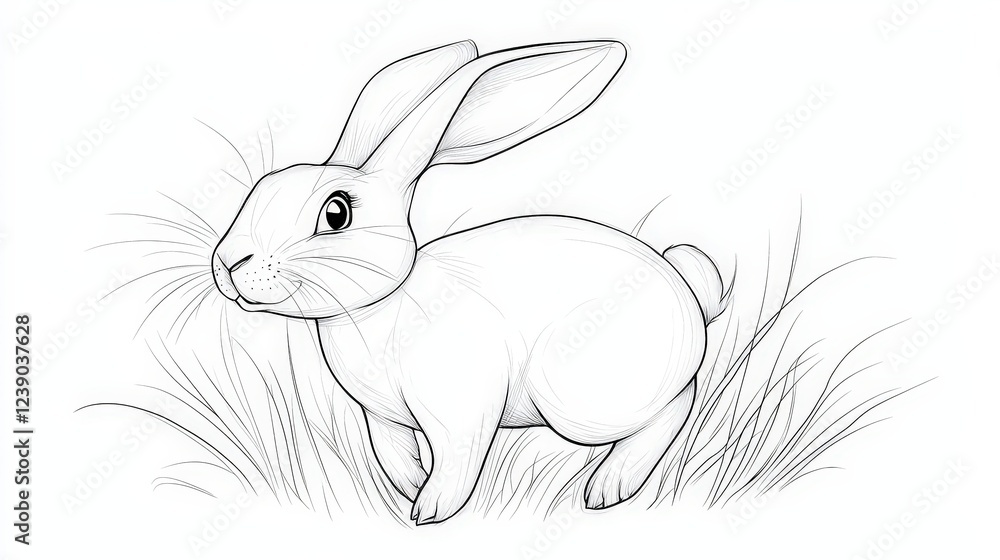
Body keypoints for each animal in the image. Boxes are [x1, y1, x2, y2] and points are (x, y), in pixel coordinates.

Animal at [211, 39, 729, 524]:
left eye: (336, 213)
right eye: (261, 187)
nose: (228, 262)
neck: (381, 307)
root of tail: (690, 297)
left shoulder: (462, 409)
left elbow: (457, 462)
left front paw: (430, 509)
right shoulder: (380, 418)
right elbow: (392, 453)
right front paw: (409, 486)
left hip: (577, 395)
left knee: (677, 405)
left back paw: (610, 485)